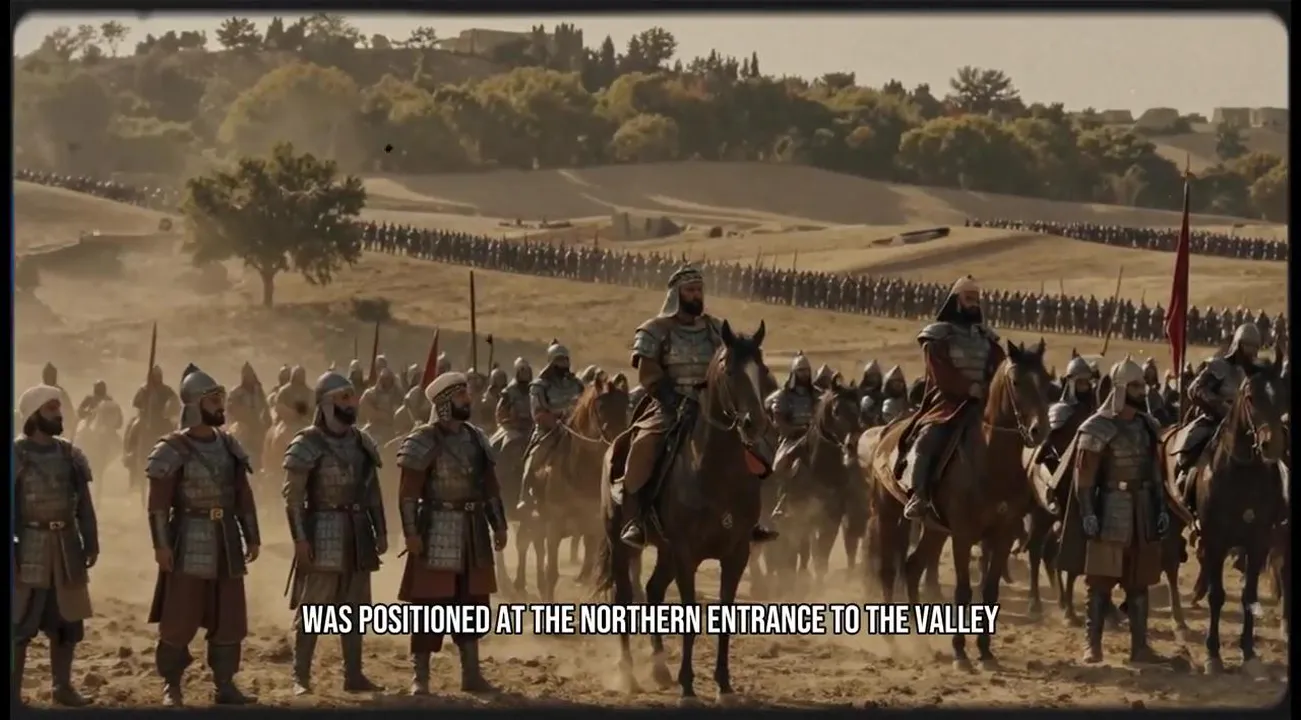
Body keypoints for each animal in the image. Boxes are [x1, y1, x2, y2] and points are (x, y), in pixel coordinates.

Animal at [524, 377, 629, 603]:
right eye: (601, 407)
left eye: (625, 405)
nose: (620, 441)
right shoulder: (553, 527)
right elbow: (551, 572)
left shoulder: (596, 527)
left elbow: (594, 572)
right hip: (537, 524)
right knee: (538, 552)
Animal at [594, 319, 775, 704]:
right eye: (730, 370)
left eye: (763, 371)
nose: (755, 423)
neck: (714, 470)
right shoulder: (686, 553)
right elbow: (689, 612)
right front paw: (689, 686)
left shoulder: (736, 554)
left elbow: (724, 616)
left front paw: (724, 685)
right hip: (622, 544)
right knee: (624, 597)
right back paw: (629, 673)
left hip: (664, 552)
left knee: (653, 591)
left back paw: (660, 669)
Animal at [770, 381, 863, 595]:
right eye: (836, 411)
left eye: (858, 409)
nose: (853, 445)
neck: (819, 469)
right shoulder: (799, 518)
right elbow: (800, 553)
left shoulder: (830, 520)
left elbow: (821, 557)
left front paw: (817, 588)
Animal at [859, 339, 1050, 669]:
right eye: (1016, 382)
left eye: (1047, 382)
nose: (1040, 430)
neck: (991, 459)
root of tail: (884, 433)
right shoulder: (963, 536)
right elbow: (963, 592)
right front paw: (961, 652)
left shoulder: (1002, 536)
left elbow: (989, 590)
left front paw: (985, 651)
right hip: (887, 515)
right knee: (887, 569)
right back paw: (891, 639)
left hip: (935, 530)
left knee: (912, 568)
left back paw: (919, 639)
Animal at [1162, 349, 1287, 675]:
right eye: (1251, 397)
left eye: (1284, 395)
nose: (1272, 446)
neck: (1242, 473)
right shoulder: (1216, 539)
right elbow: (1217, 596)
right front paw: (1212, 654)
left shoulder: (1258, 542)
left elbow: (1248, 596)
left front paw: (1248, 652)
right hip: (1172, 519)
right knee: (1171, 564)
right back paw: (1179, 620)